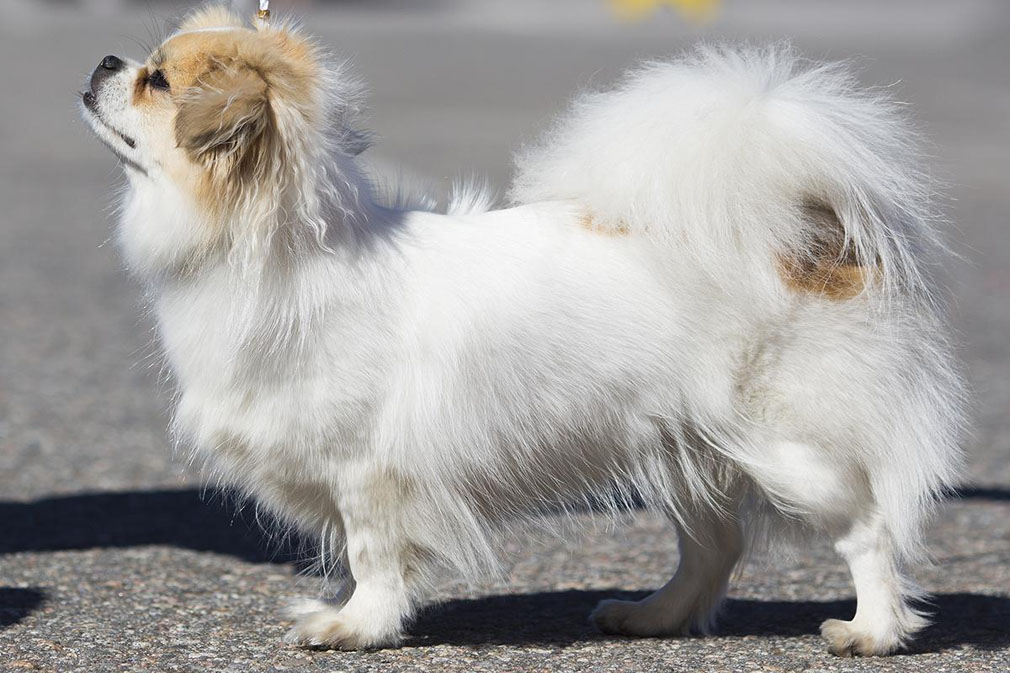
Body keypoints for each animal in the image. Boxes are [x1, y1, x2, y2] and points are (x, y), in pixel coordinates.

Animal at [78, 6, 961, 654]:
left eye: (158, 80)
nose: (105, 61)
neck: (281, 253)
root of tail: (807, 244)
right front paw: (353, 613)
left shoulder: (371, 472)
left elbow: (372, 553)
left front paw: (356, 625)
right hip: (684, 446)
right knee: (714, 546)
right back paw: (653, 617)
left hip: (789, 449)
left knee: (868, 529)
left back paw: (871, 631)